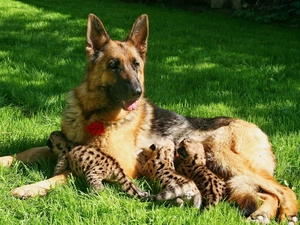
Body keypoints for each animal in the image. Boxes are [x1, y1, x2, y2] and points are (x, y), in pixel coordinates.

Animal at [0, 14, 298, 223]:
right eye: (113, 65)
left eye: (136, 65)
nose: (137, 92)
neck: (93, 114)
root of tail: (260, 130)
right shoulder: (62, 145)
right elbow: (26, 152)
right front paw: (5, 161)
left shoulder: (117, 163)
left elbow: (66, 174)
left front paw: (30, 188)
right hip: (228, 172)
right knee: (265, 192)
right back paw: (262, 214)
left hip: (223, 155)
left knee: (284, 189)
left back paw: (286, 214)